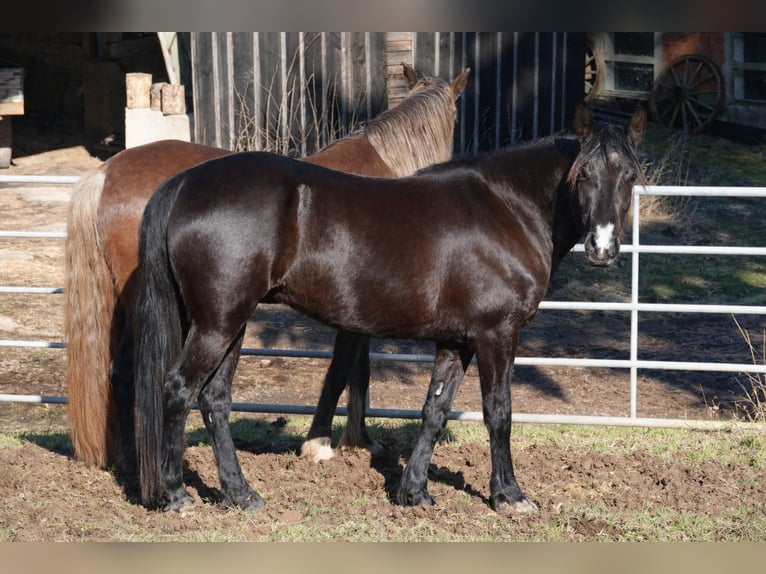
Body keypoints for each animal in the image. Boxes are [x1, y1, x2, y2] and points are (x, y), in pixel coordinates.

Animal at [64, 63, 470, 472]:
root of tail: (104, 174)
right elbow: (342, 368)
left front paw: (359, 439)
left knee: (117, 373)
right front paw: (320, 442)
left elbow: (359, 369)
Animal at [130, 101, 646, 513]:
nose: (603, 247)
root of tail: (183, 184)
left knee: (215, 400)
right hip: (217, 324)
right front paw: (509, 496)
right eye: (583, 175)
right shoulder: (497, 333)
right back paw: (176, 496)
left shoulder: (457, 340)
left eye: (628, 176)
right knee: (179, 389)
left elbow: (435, 410)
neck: (507, 208)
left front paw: (413, 491)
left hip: (230, 324)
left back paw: (241, 495)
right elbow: (498, 411)